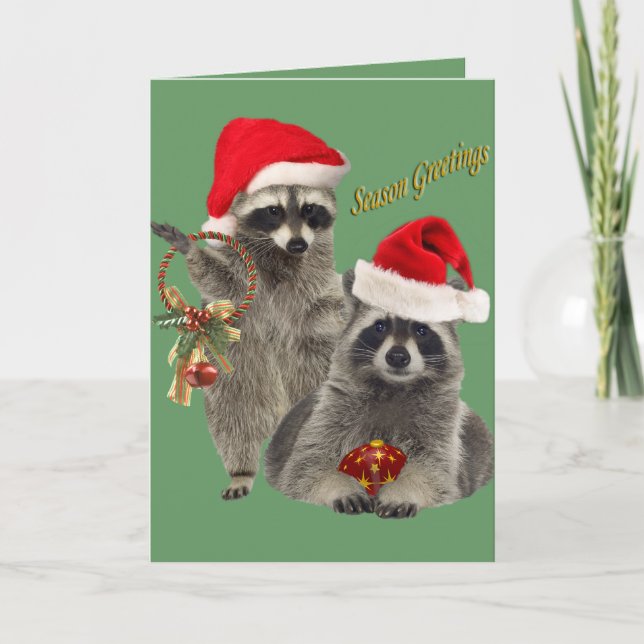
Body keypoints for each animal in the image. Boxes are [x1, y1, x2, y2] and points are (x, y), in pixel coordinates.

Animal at [152, 184, 344, 500]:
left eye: (309, 208)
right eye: (273, 210)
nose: (298, 244)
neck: (279, 252)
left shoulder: (318, 281)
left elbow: (327, 302)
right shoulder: (242, 266)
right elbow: (223, 281)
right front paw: (190, 249)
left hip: (315, 360)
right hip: (238, 370)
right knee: (233, 419)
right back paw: (242, 470)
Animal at [264, 269, 493, 518]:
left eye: (421, 330)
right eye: (380, 326)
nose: (398, 356)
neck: (392, 387)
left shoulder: (441, 428)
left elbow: (433, 469)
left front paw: (403, 491)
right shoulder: (328, 415)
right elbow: (307, 466)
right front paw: (339, 486)